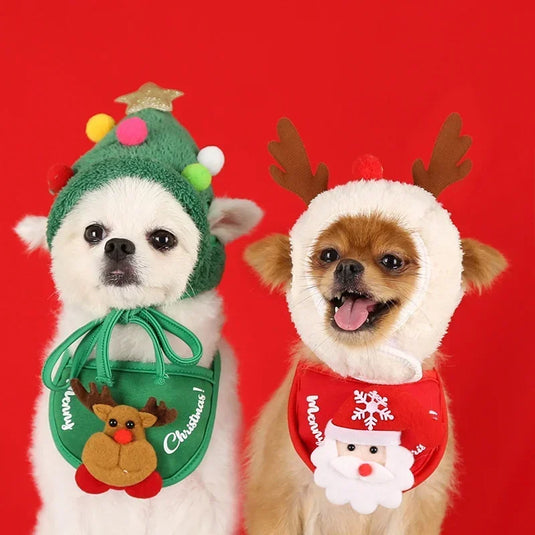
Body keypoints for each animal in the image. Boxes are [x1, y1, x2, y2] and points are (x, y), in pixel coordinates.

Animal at [243, 117, 506, 535]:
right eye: (328, 254)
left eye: (392, 261)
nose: (347, 265)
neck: (366, 381)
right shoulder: (279, 496)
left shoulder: (416, 509)